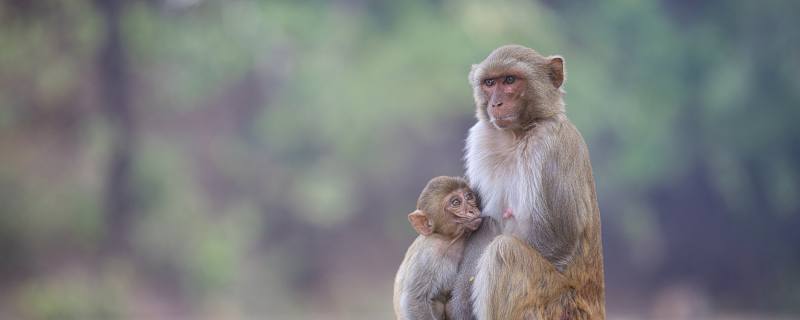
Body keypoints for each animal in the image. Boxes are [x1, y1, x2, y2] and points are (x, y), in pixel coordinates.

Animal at [392, 176, 482, 318]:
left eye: (469, 196)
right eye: (456, 202)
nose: (472, 210)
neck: (450, 240)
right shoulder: (429, 254)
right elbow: (415, 300)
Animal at [450, 45, 608, 320]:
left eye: (509, 80)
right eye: (489, 83)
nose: (496, 103)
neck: (518, 135)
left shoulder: (552, 146)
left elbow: (557, 238)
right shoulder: (481, 138)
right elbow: (483, 224)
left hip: (556, 307)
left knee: (504, 253)